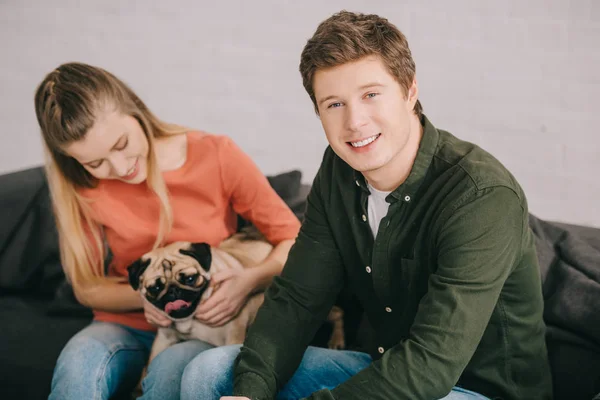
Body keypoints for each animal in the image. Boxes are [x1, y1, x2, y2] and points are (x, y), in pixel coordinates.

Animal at [126, 228, 346, 366]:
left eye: (189, 278)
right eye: (155, 288)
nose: (173, 291)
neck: (190, 320)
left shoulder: (232, 334)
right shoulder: (164, 339)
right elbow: (152, 362)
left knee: (338, 313)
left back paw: (337, 340)